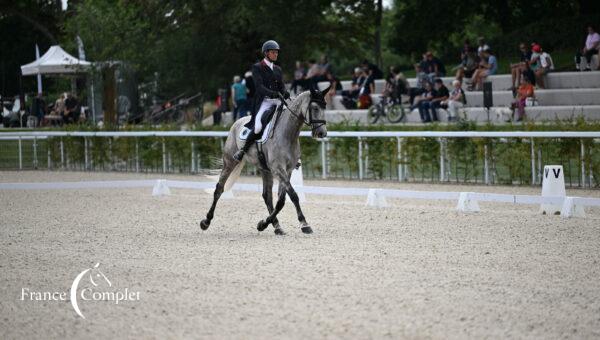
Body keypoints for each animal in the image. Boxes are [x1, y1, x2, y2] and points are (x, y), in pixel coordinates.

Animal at [198, 86, 330, 235]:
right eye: (315, 108)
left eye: (324, 107)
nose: (322, 133)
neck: (288, 134)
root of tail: (237, 122)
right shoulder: (278, 169)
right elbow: (293, 196)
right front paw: (304, 224)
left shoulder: (287, 170)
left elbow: (281, 200)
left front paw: (263, 224)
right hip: (229, 162)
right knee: (219, 189)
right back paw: (206, 221)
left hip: (265, 169)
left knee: (267, 196)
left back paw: (276, 226)